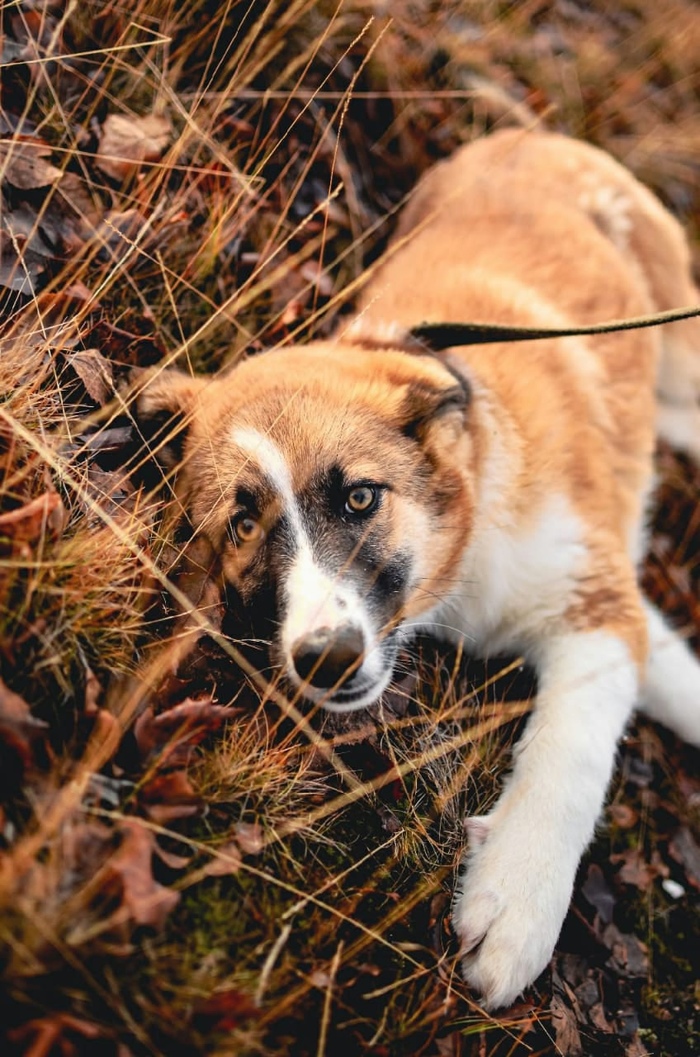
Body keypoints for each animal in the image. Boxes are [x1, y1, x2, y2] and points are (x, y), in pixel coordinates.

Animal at [139, 130, 700, 1006]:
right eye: (242, 522)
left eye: (361, 497)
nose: (325, 659)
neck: (465, 547)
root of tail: (528, 132)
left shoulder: (596, 599)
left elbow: (572, 752)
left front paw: (517, 900)